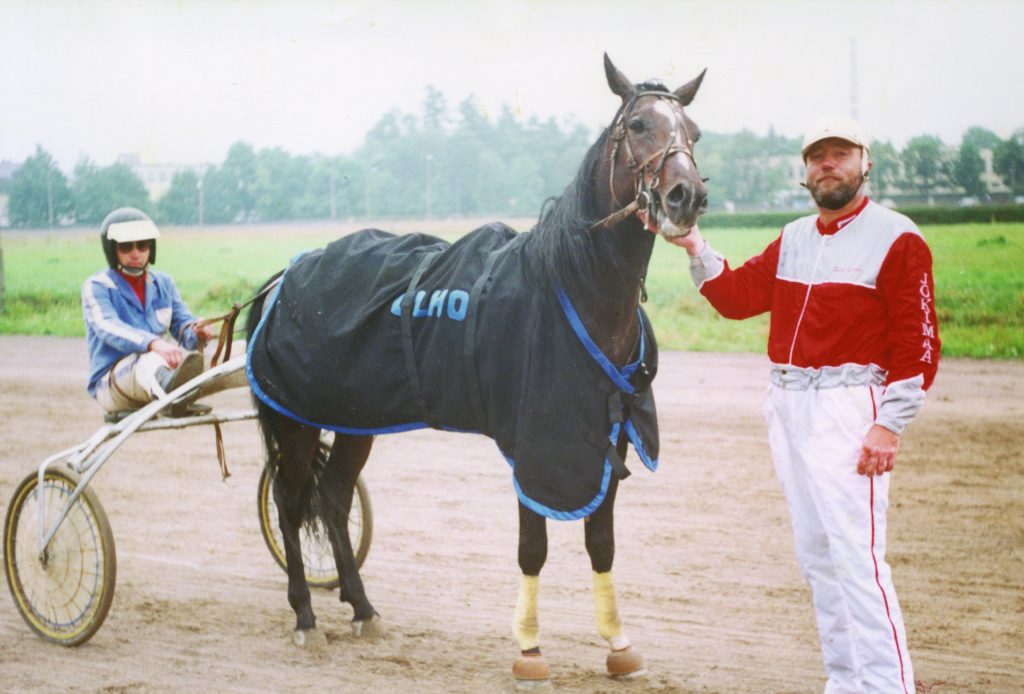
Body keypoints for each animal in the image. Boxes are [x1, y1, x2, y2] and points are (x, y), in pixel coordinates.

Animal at [243, 55, 708, 683]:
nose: (686, 195)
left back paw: (363, 608)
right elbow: (533, 547)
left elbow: (602, 543)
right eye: (637, 125)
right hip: (296, 419)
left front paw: (618, 645)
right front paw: (529, 651)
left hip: (353, 417)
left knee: (336, 498)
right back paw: (304, 617)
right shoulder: (537, 445)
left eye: (693, 132)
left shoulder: (605, 434)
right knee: (292, 505)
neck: (573, 284)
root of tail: (284, 274)